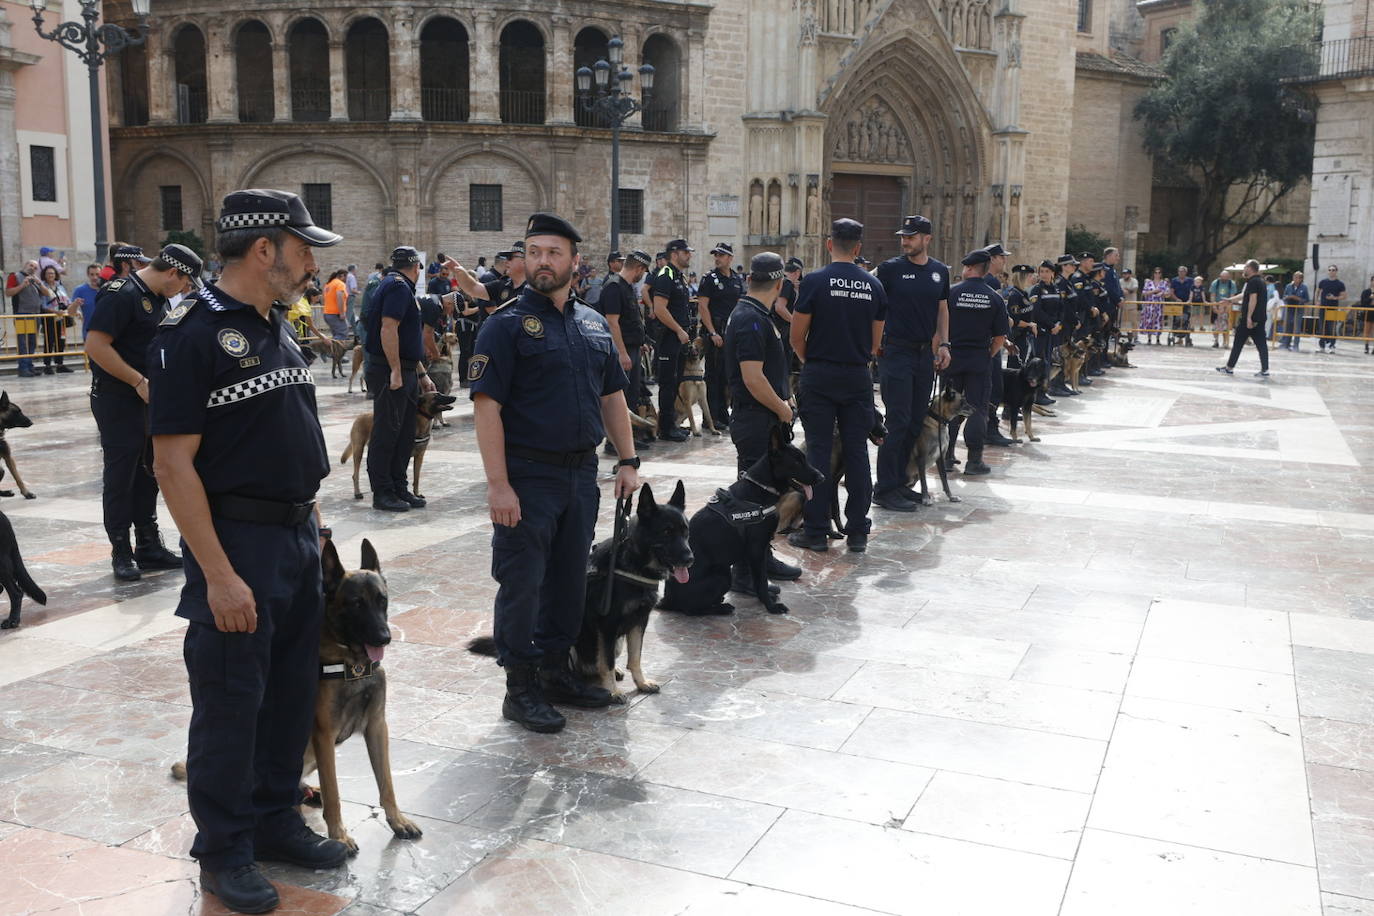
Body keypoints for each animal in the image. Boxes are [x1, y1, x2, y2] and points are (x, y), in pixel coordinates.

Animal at [177, 541, 423, 856]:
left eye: (382, 600)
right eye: (357, 603)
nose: (384, 637)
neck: (351, 662)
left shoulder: (377, 727)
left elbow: (387, 784)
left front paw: (397, 820)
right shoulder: (324, 736)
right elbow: (334, 793)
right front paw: (339, 835)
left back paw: (306, 792)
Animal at [469, 483, 697, 708]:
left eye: (685, 532)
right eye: (666, 532)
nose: (690, 559)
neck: (634, 562)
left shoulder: (639, 621)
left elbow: (635, 657)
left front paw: (641, 683)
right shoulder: (608, 625)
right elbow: (607, 662)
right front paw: (614, 691)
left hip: (615, 642)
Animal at [659, 428, 818, 615]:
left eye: (804, 459)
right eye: (797, 462)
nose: (822, 477)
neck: (760, 488)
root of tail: (666, 600)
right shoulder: (756, 550)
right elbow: (761, 582)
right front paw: (770, 606)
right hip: (722, 575)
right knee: (692, 609)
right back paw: (721, 608)